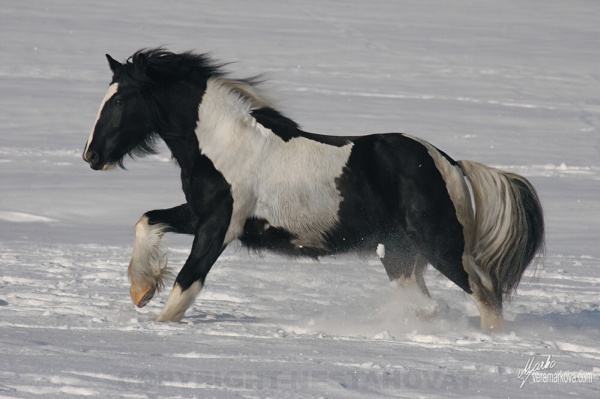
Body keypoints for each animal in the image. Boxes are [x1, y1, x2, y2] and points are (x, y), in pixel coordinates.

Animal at [82, 48, 548, 332]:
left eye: (120, 100)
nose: (91, 155)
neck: (222, 143)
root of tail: (449, 164)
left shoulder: (218, 226)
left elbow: (187, 281)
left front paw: (157, 321)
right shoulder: (199, 214)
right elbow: (147, 220)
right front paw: (141, 290)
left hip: (442, 248)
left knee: (486, 297)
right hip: (401, 255)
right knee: (429, 303)